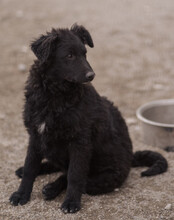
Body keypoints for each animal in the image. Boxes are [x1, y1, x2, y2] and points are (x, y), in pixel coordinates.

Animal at [9, 24, 167, 213]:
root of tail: (131, 159)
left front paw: (71, 202)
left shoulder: (80, 142)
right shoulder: (36, 135)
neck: (54, 95)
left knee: (71, 176)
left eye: (85, 54)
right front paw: (21, 194)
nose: (91, 75)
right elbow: (29, 168)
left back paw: (52, 188)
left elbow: (74, 175)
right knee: (58, 166)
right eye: (69, 56)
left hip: (103, 179)